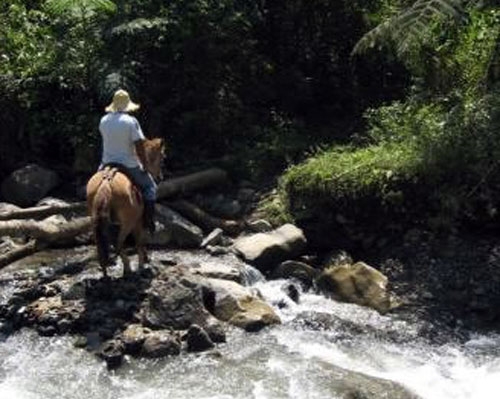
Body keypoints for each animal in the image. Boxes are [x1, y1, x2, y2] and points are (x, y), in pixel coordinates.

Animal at [85, 139, 164, 280]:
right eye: (162, 159)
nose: (160, 177)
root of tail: (107, 181)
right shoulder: (138, 222)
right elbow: (140, 241)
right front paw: (142, 264)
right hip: (128, 222)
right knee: (119, 242)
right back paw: (127, 269)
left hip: (95, 219)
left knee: (103, 243)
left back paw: (106, 272)